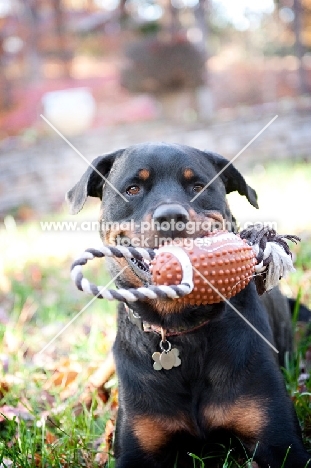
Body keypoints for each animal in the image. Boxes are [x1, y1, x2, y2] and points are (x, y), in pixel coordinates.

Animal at [67, 144, 310, 468]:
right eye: (133, 189)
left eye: (198, 187)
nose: (171, 215)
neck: (180, 325)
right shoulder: (136, 450)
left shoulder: (282, 443)